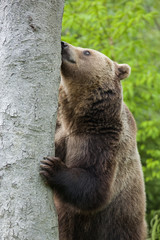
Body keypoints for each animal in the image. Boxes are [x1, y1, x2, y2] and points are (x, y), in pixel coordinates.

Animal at [40, 41, 146, 240]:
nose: (63, 44)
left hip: (121, 220)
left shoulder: (101, 139)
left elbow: (95, 184)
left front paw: (51, 167)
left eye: (87, 52)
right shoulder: (61, 129)